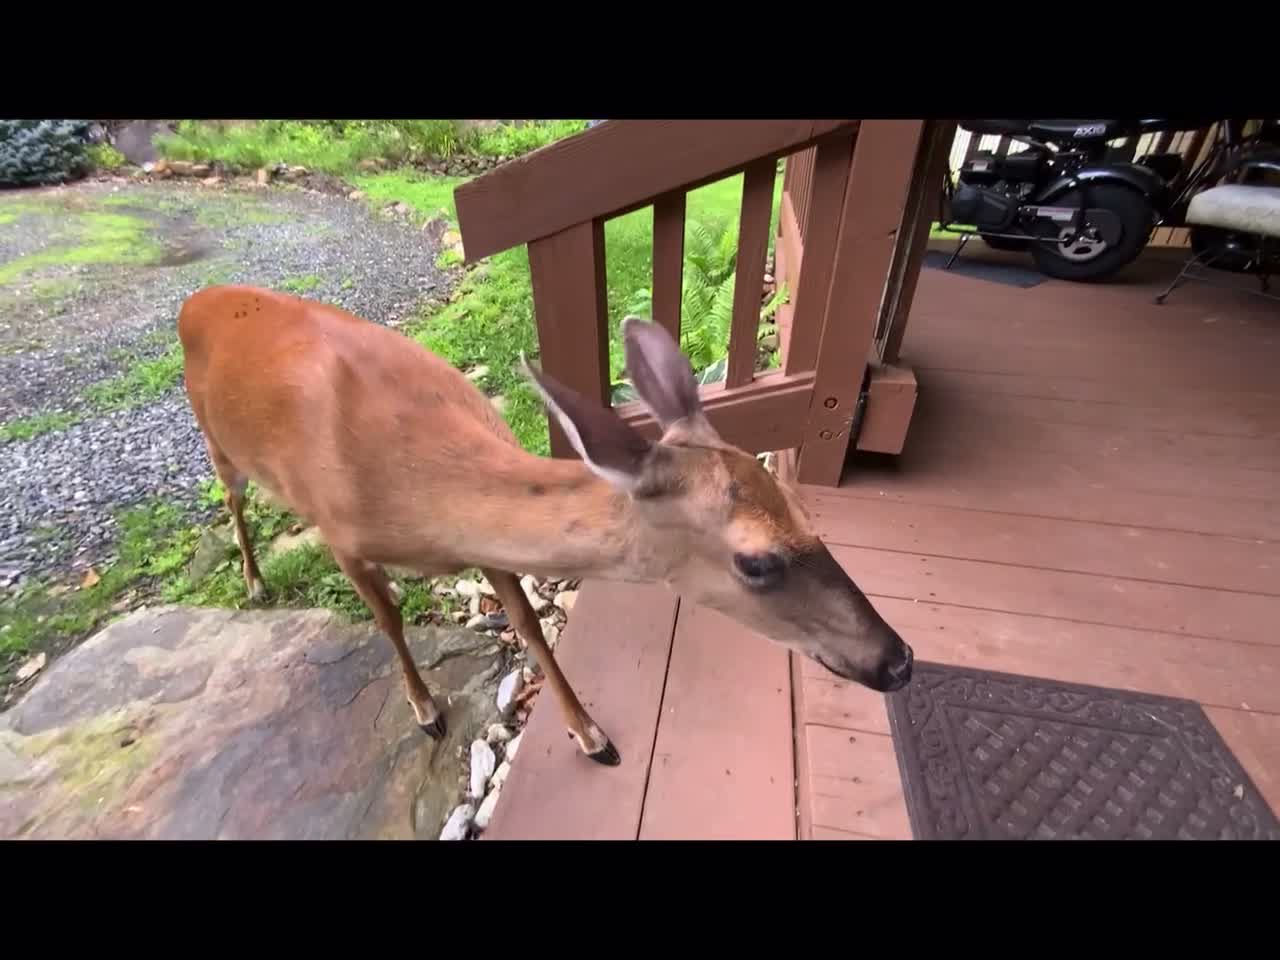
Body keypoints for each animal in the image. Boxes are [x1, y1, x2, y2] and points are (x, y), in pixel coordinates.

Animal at [175, 285, 916, 768]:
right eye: (757, 561)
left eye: (804, 512)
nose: (900, 660)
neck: (420, 499)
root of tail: (196, 299)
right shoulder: (342, 538)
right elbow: (388, 622)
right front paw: (425, 711)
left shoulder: (485, 548)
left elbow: (530, 624)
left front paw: (591, 736)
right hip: (218, 445)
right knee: (233, 500)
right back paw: (255, 583)